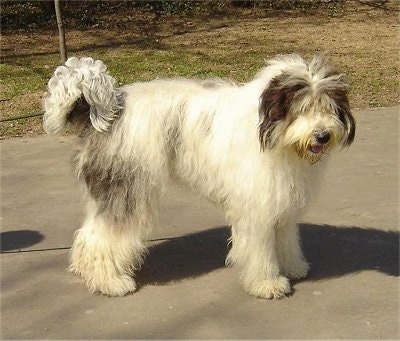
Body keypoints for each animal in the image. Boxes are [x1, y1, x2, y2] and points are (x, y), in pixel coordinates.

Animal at [43, 53, 356, 298]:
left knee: (89, 233)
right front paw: (267, 283)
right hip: (127, 188)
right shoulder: (256, 205)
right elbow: (260, 247)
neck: (271, 132)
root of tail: (108, 110)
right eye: (302, 108)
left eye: (329, 107)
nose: (322, 135)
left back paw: (86, 271)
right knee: (105, 235)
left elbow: (285, 237)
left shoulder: (279, 199)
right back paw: (110, 282)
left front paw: (292, 267)